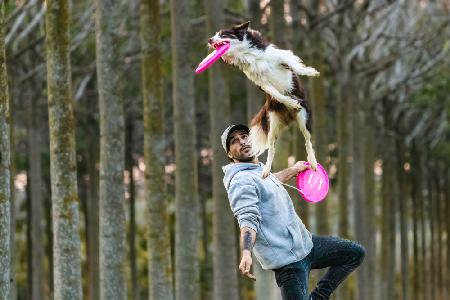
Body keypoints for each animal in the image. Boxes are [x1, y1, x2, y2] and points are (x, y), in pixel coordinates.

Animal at [208, 21, 320, 178]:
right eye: (215, 35)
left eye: (223, 34)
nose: (209, 40)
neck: (246, 53)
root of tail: (290, 117)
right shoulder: (261, 82)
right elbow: (276, 93)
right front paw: (290, 101)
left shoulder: (280, 56)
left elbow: (295, 65)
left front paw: (310, 72)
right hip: (272, 123)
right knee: (272, 148)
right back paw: (266, 170)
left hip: (304, 118)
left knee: (308, 140)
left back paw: (313, 162)